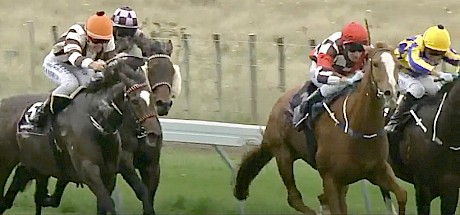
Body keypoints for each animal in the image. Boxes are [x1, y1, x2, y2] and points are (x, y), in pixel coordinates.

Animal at [0, 56, 159, 214]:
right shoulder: (89, 170)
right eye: (135, 101)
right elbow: (109, 204)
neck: (97, 120)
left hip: (34, 165)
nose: (154, 133)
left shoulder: (110, 172)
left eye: (152, 97)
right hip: (6, 164)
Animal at [234, 42, 406, 215]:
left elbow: (402, 194)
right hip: (283, 154)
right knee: (294, 198)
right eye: (376, 64)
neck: (359, 129)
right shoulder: (330, 178)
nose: (391, 92)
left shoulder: (377, 170)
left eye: (398, 66)